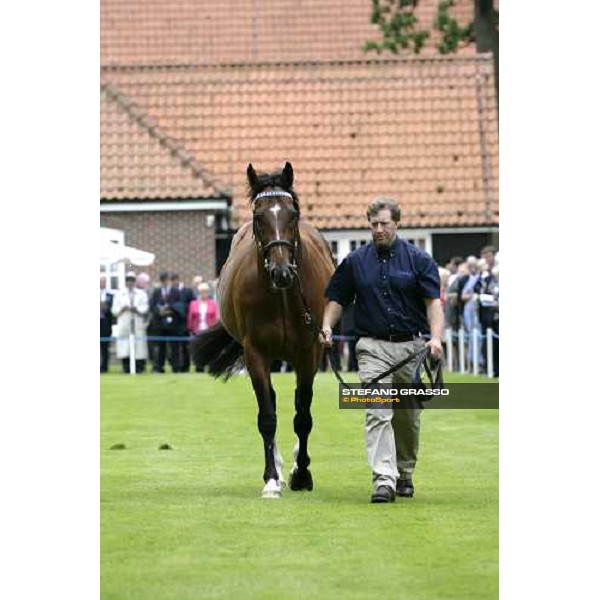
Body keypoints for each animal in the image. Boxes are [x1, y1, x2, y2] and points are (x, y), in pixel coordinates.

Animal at [191, 162, 336, 500]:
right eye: (259, 217)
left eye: (292, 214)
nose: (282, 272)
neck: (282, 298)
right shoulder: (255, 353)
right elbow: (267, 417)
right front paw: (271, 478)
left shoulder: (308, 352)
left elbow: (303, 416)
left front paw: (302, 474)